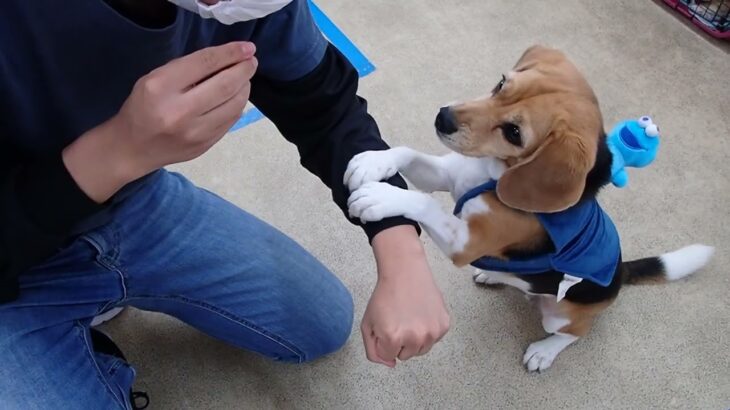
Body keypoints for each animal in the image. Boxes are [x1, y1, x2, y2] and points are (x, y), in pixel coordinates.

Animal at [342, 44, 712, 372]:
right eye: (501, 83)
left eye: (514, 132)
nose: (442, 117)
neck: (496, 172)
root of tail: (620, 273)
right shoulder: (446, 174)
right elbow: (407, 153)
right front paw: (373, 162)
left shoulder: (466, 241)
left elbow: (425, 201)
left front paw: (379, 198)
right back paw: (493, 274)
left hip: (559, 316)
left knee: (574, 333)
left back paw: (544, 351)